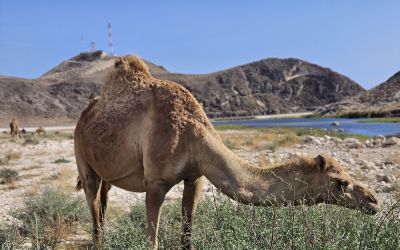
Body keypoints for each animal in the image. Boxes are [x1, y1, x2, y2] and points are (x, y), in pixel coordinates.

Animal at [74, 55, 378, 249]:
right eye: (341, 183)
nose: (374, 201)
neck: (194, 133)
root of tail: (82, 118)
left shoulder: (195, 177)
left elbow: (187, 236)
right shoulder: (156, 183)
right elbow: (153, 240)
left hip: (107, 174)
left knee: (103, 206)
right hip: (83, 160)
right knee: (94, 211)